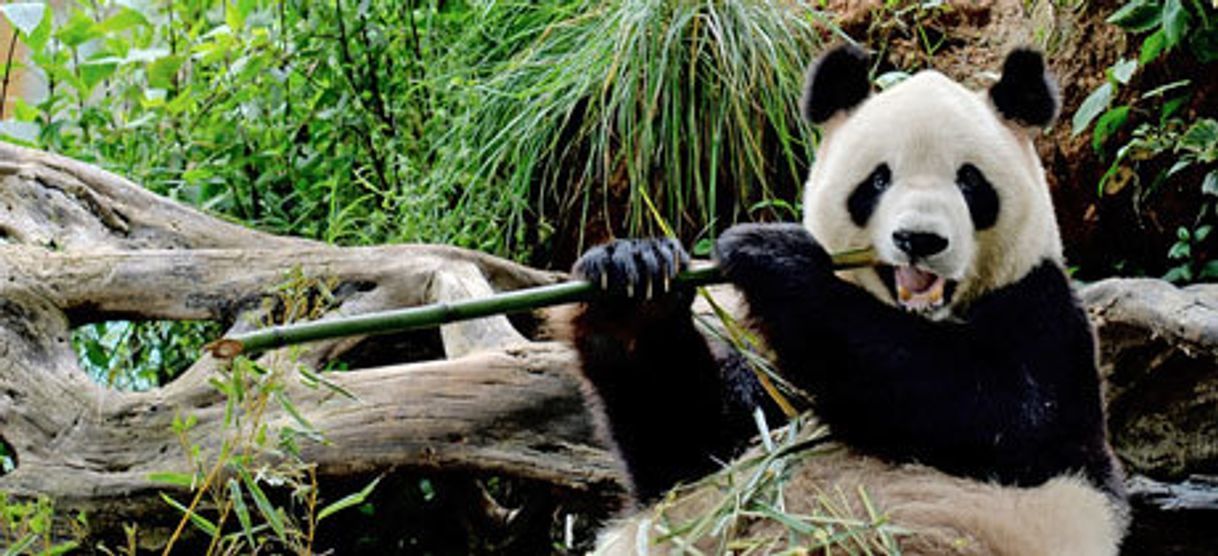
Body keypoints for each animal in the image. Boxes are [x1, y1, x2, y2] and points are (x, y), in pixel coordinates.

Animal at [565, 45, 1125, 553]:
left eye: (970, 180)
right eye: (878, 179)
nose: (920, 239)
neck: (921, 318)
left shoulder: (1046, 319)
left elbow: (998, 407)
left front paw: (772, 253)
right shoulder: (766, 385)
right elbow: (683, 449)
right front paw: (633, 283)